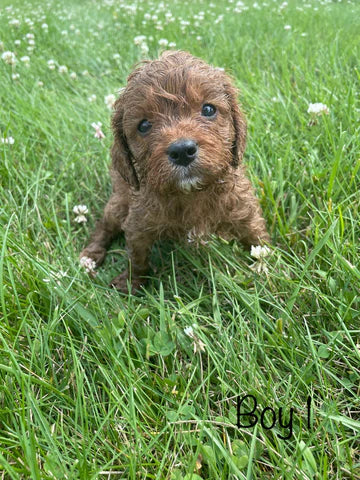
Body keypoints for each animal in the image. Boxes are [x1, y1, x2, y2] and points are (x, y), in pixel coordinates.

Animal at [80, 51, 268, 292]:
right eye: (144, 125)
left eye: (208, 109)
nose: (182, 151)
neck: (191, 193)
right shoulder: (138, 222)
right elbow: (137, 257)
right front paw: (132, 282)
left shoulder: (243, 207)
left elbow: (257, 237)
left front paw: (274, 267)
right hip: (118, 205)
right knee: (104, 226)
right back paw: (90, 255)